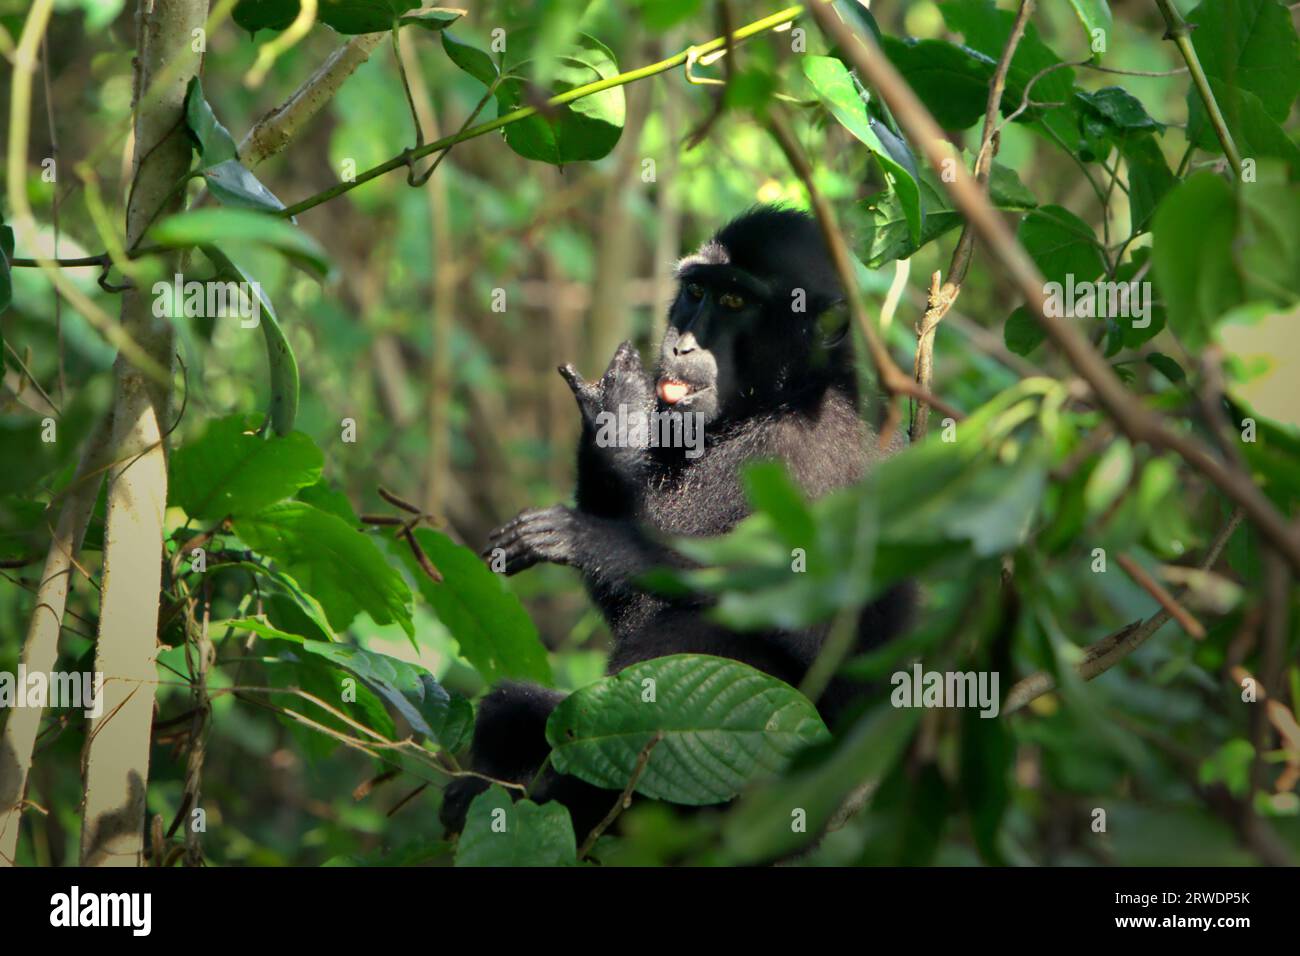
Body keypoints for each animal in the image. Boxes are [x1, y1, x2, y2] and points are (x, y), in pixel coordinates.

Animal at [440, 206, 914, 838]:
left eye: (735, 301)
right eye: (695, 292)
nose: (682, 345)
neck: (774, 406)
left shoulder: (808, 464)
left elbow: (820, 637)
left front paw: (594, 538)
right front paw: (614, 425)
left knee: (705, 632)